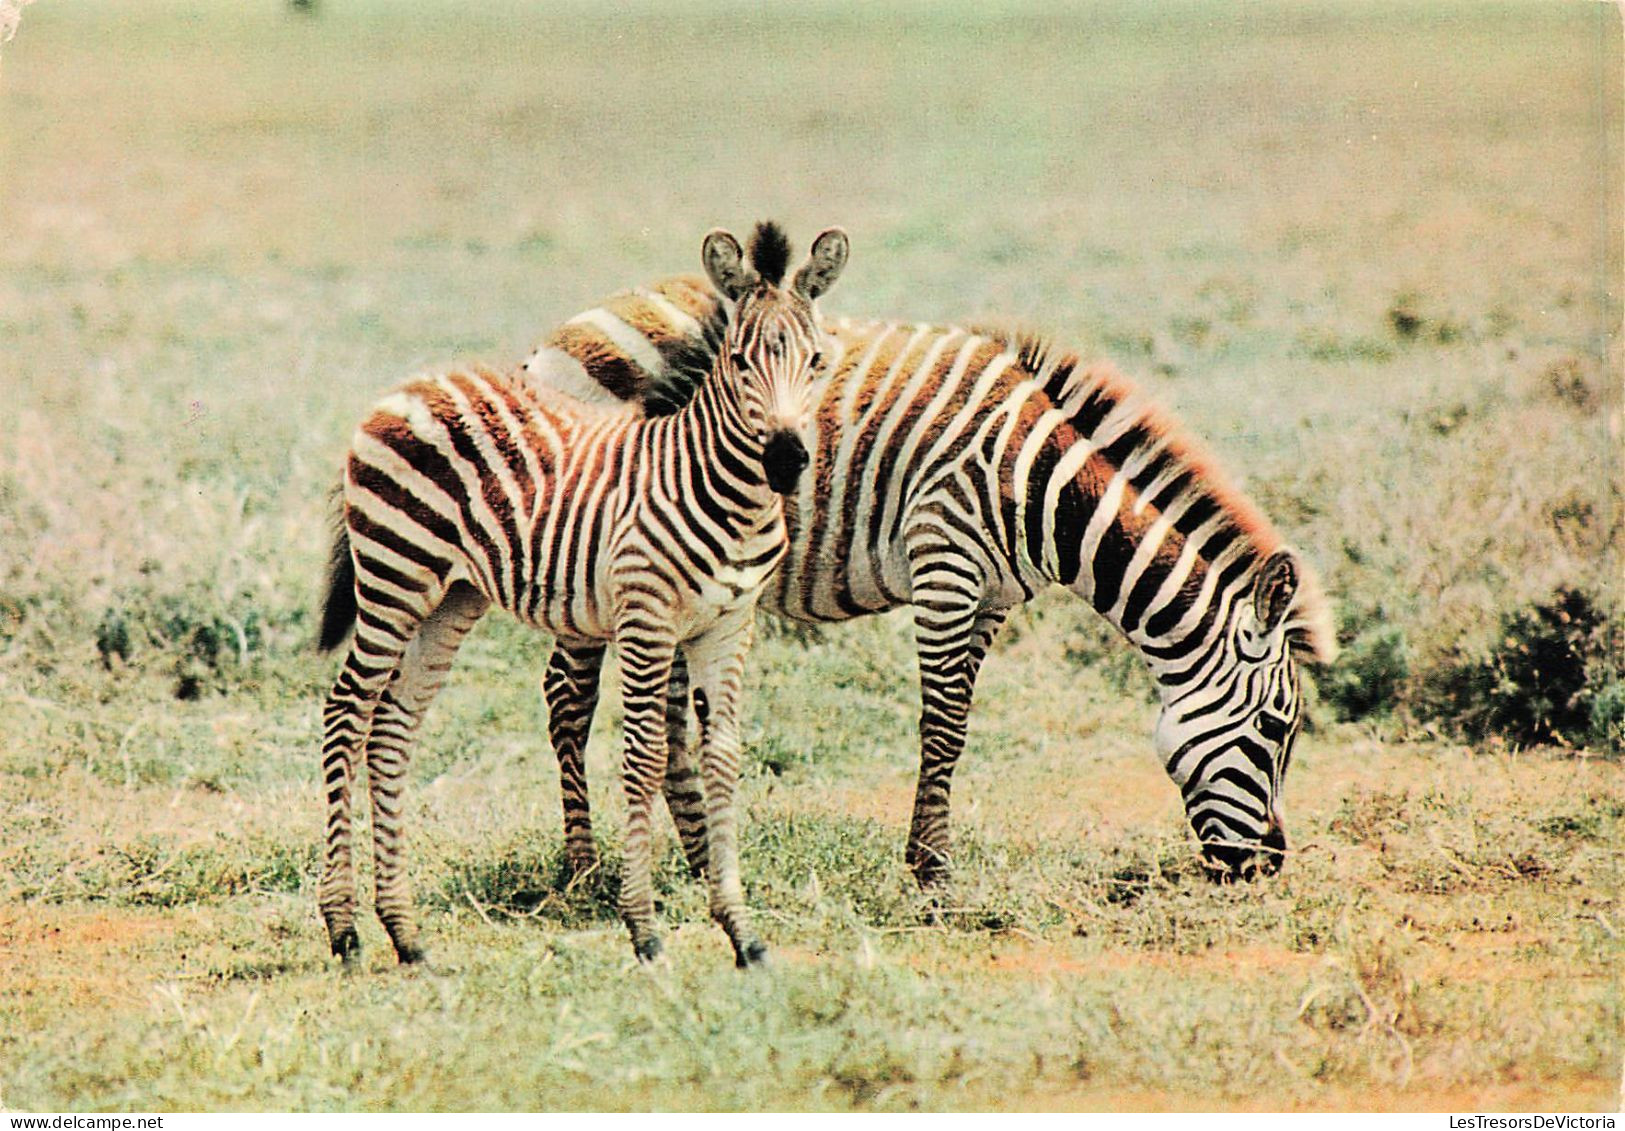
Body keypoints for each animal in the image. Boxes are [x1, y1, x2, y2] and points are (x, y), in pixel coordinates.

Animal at [313, 225, 851, 968]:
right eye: (741, 361)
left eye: (817, 359)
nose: (786, 459)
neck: (724, 493)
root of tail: (402, 390)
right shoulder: (646, 618)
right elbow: (647, 755)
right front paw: (644, 929)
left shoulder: (726, 626)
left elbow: (722, 756)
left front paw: (742, 934)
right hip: (396, 574)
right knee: (346, 712)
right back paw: (343, 928)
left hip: (451, 597)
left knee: (392, 727)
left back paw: (405, 933)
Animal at [520, 276, 1332, 890]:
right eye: (1276, 728)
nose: (1267, 866)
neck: (1038, 484)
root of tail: (559, 335)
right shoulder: (945, 560)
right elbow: (941, 722)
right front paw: (931, 870)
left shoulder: (993, 596)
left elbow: (960, 721)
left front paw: (926, 854)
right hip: (589, 545)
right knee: (568, 699)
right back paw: (583, 869)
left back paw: (696, 862)